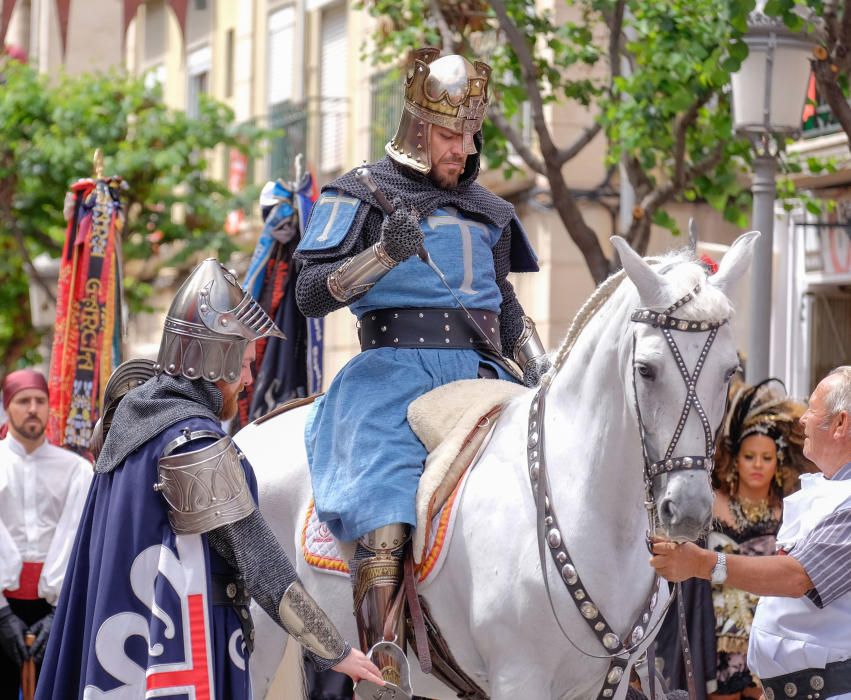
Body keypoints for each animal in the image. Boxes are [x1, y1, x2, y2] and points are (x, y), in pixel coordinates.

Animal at [235, 234, 760, 700]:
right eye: (646, 370)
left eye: (730, 372)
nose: (687, 510)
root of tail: (243, 433)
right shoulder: (519, 677)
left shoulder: (608, 679)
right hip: (262, 642)